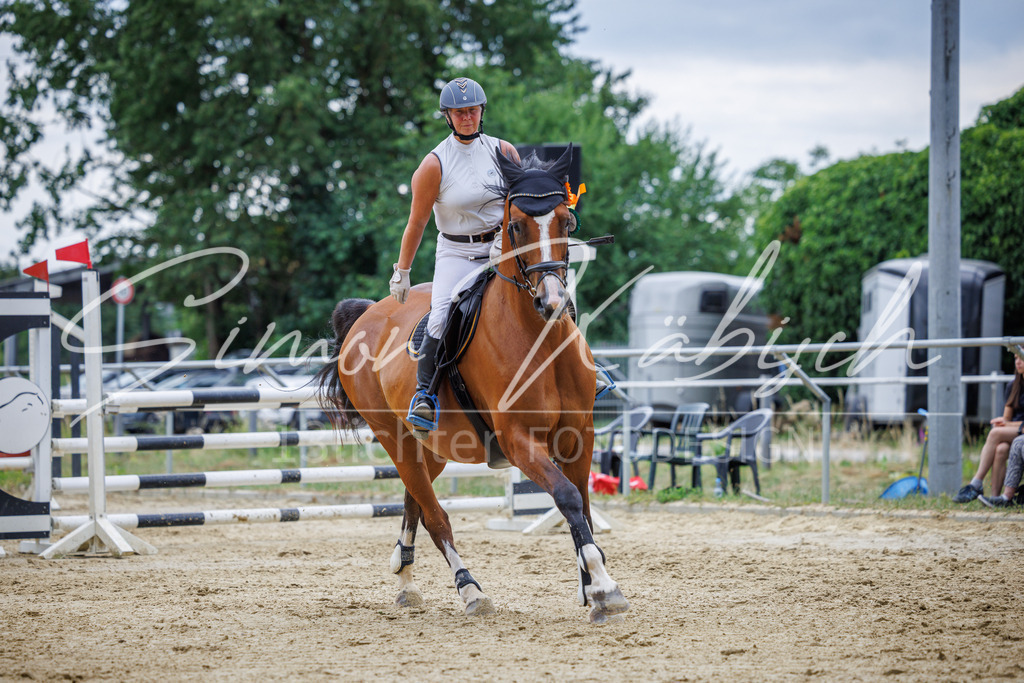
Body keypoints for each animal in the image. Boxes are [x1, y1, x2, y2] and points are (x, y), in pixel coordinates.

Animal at [316, 146, 629, 624]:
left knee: (415, 501)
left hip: (433, 450)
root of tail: (369, 314)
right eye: (515, 226)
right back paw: (470, 590)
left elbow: (585, 506)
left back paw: (406, 581)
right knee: (435, 516)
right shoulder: (518, 441)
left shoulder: (580, 433)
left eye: (566, 222)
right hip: (395, 439)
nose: (553, 303)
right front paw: (604, 588)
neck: (539, 337)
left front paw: (589, 585)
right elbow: (567, 497)